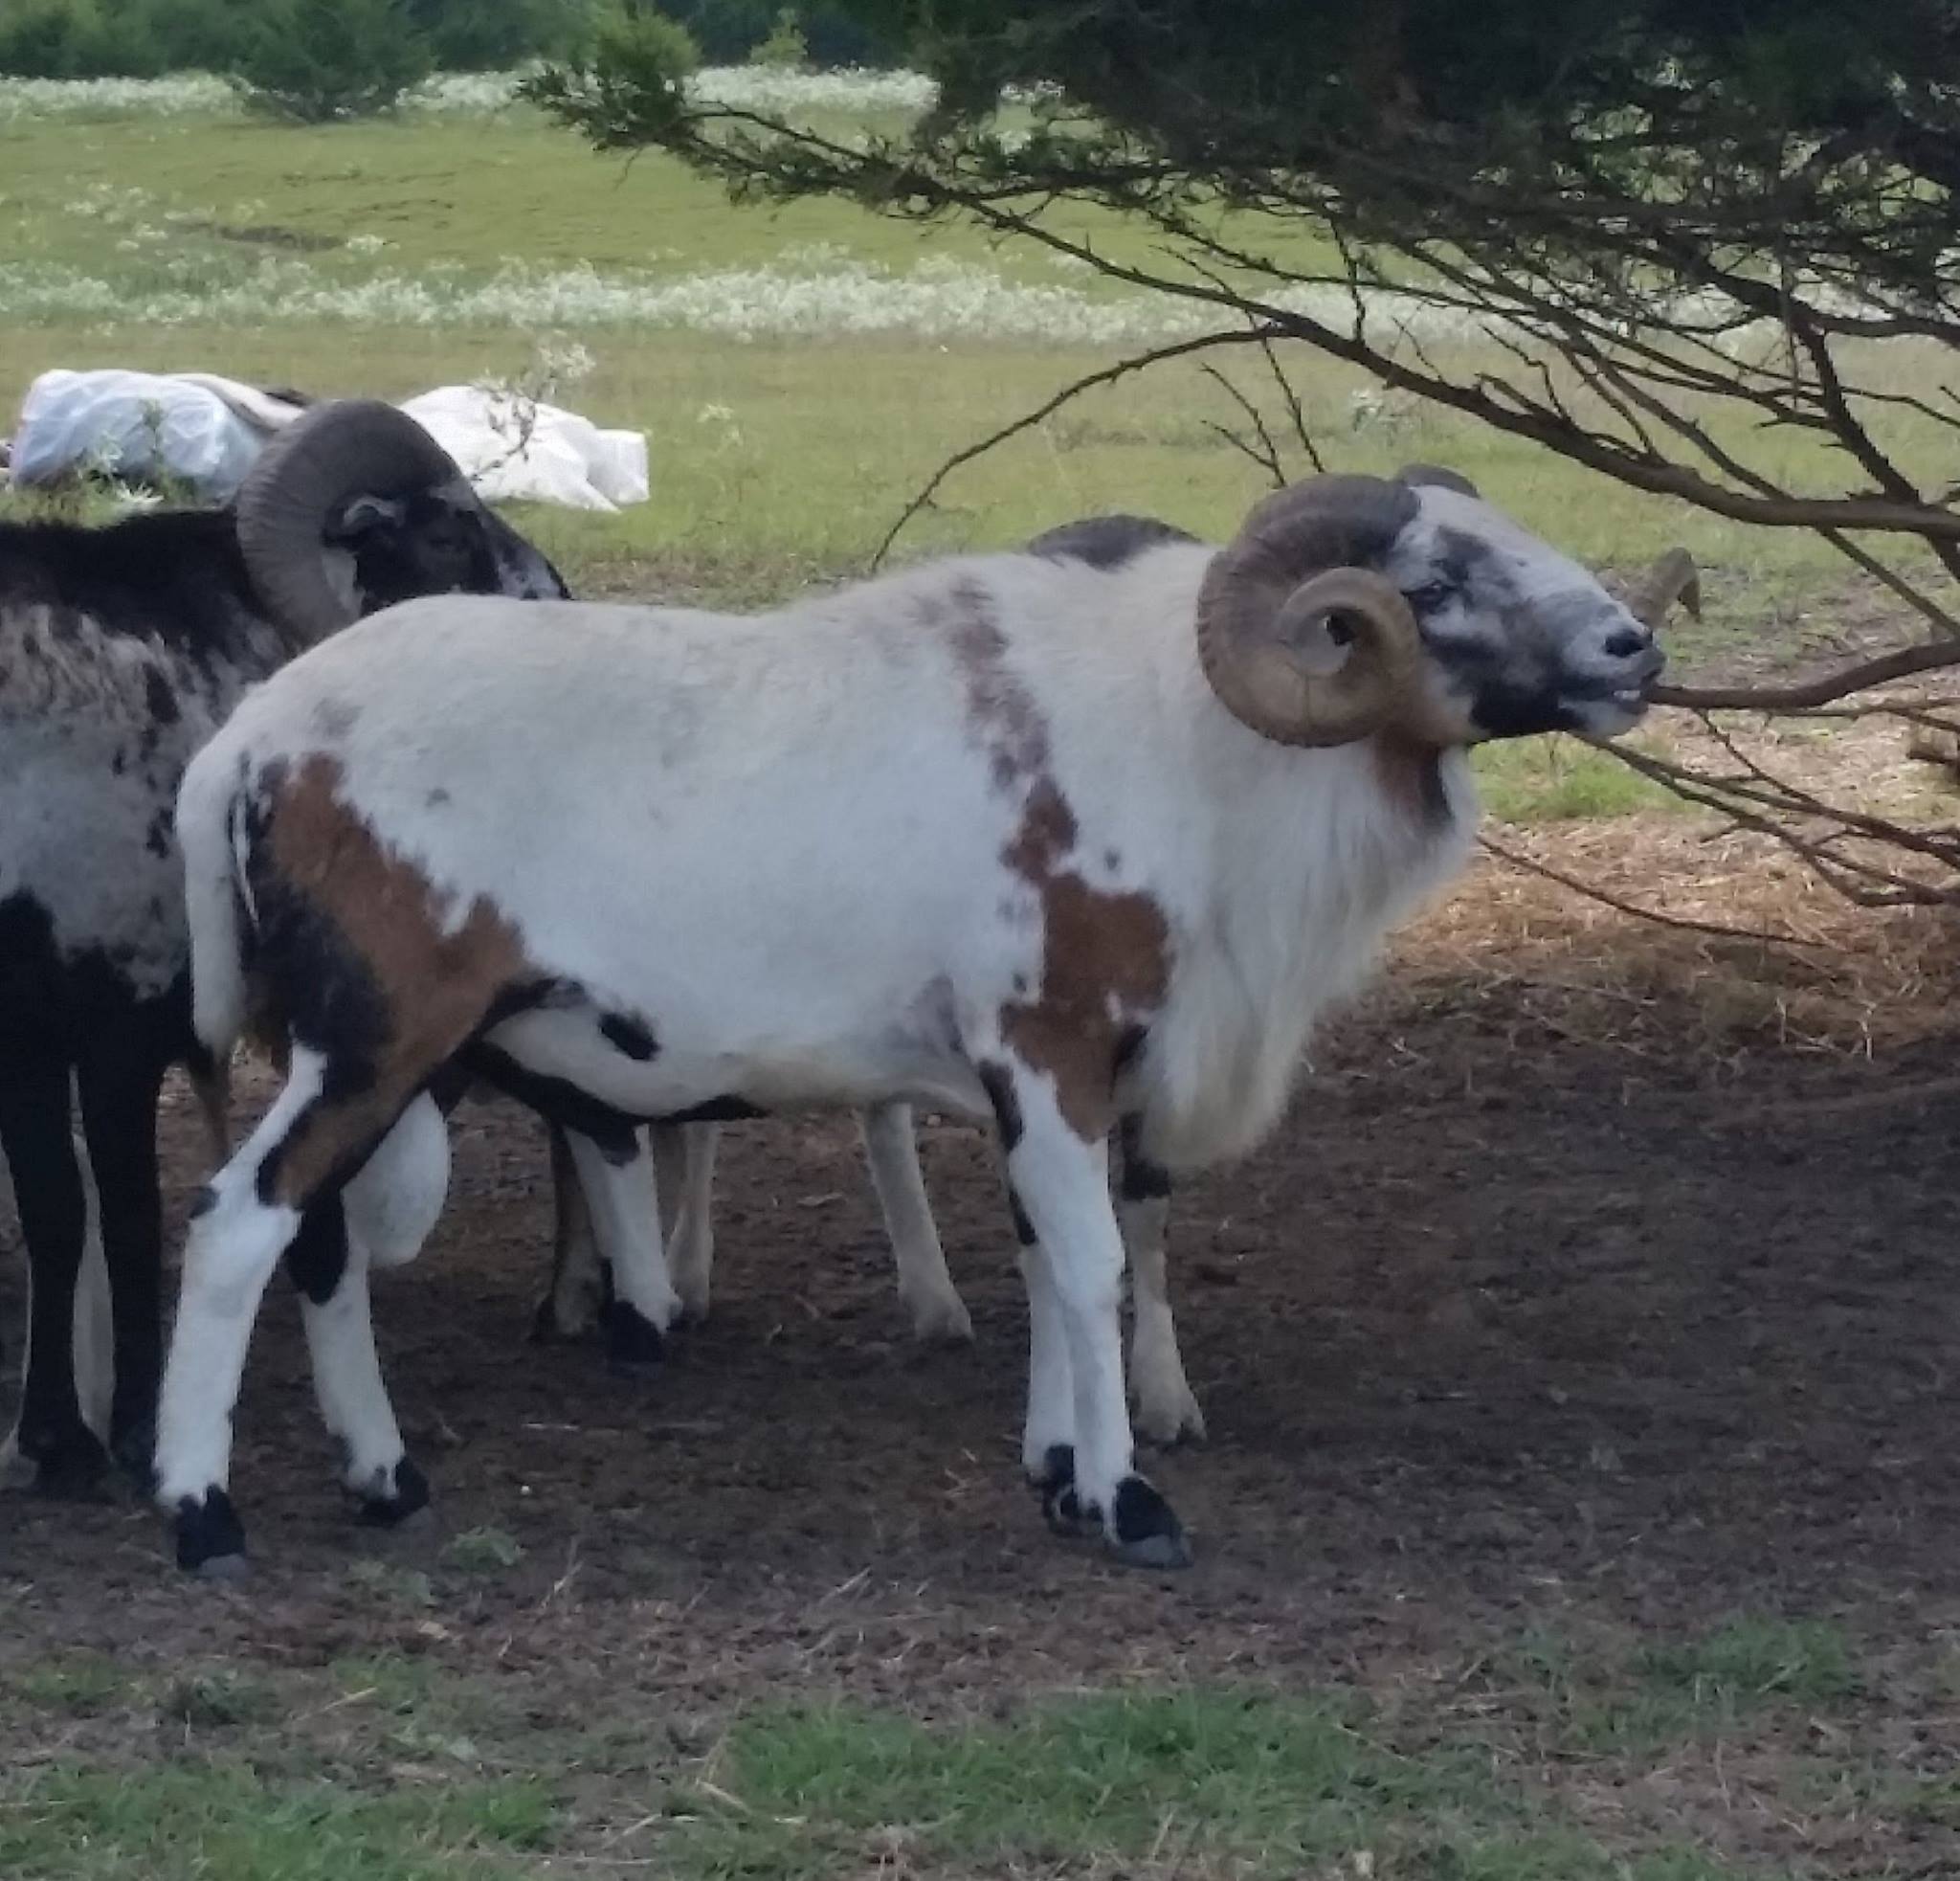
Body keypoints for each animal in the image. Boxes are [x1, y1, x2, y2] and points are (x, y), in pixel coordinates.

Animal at [0, 398, 567, 1495]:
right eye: (447, 530)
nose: (558, 600)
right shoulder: (85, 1020)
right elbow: (94, 1212)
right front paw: (92, 1434)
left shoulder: (80, 1025)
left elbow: (84, 1215)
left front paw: (93, 1435)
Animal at [153, 469, 1679, 1577]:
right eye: (1430, 583)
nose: (1634, 648)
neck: (1184, 742)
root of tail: (254, 738)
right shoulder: (1050, 1047)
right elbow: (1090, 1265)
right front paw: (1127, 1502)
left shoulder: (1035, 1080)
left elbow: (1043, 1265)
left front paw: (1057, 1473)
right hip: (378, 1032)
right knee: (240, 1224)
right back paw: (202, 1516)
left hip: (372, 1051)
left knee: (321, 1242)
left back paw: (385, 1482)